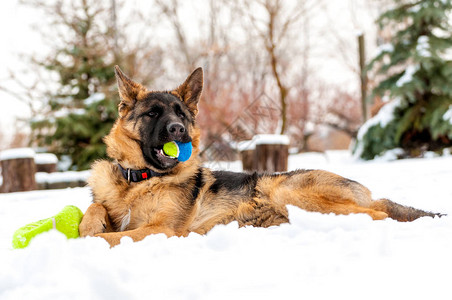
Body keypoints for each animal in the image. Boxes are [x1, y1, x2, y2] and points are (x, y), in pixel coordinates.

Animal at [78, 67, 442, 247]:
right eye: (153, 113)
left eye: (181, 114)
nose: (179, 130)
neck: (139, 180)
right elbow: (96, 208)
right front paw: (88, 225)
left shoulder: (162, 229)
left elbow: (117, 236)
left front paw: (86, 241)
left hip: (288, 192)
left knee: (375, 214)